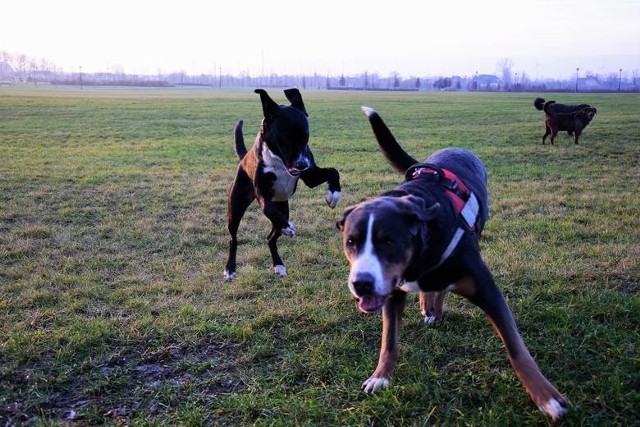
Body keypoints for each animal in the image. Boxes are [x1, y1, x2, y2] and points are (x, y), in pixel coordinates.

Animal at [228, 88, 342, 280]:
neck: (278, 160)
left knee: (270, 238)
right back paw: (230, 269)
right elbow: (268, 209)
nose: (302, 164)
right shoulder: (262, 193)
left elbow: (333, 171)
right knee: (233, 238)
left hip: (283, 206)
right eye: (286, 139)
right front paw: (288, 227)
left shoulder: (311, 176)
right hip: (236, 208)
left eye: (306, 138)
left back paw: (279, 265)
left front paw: (333, 194)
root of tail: (243, 159)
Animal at [338, 106, 568, 422]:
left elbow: (517, 349)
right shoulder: (392, 292)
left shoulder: (487, 290)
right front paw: (380, 376)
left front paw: (547, 397)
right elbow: (389, 341)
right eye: (351, 242)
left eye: (388, 242)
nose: (361, 284)